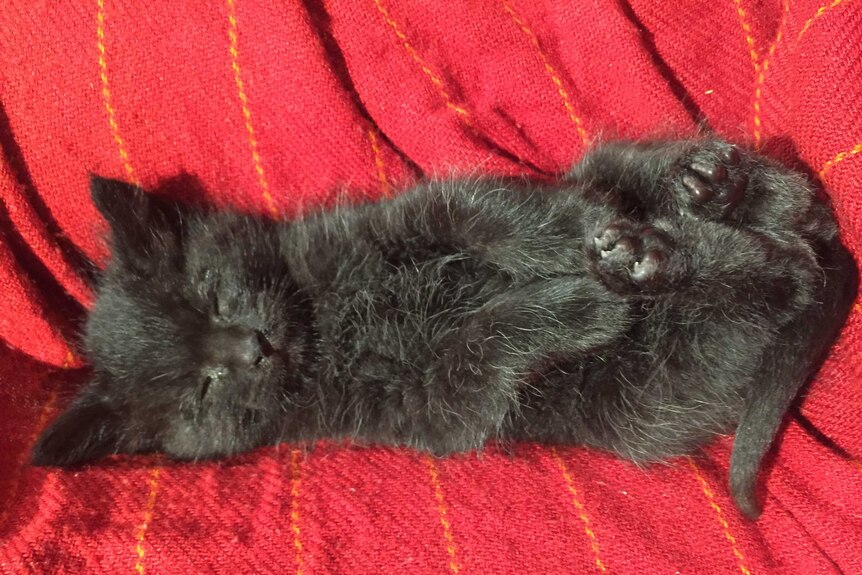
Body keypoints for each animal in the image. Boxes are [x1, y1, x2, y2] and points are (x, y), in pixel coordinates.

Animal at [32, 138, 856, 516]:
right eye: (200, 392)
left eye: (210, 293)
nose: (252, 347)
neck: (325, 321)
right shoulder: (438, 401)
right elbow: (483, 338)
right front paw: (581, 303)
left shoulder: (425, 211)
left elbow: (493, 215)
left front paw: (572, 238)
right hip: (655, 382)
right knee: (781, 272)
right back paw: (652, 261)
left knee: (786, 218)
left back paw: (706, 192)